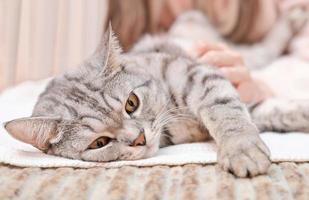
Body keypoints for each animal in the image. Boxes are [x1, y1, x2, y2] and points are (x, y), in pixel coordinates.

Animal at [3, 25, 308, 177]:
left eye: (131, 103)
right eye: (99, 143)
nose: (138, 138)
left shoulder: (197, 74)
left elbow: (227, 111)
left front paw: (241, 149)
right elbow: (270, 111)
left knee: (265, 47)